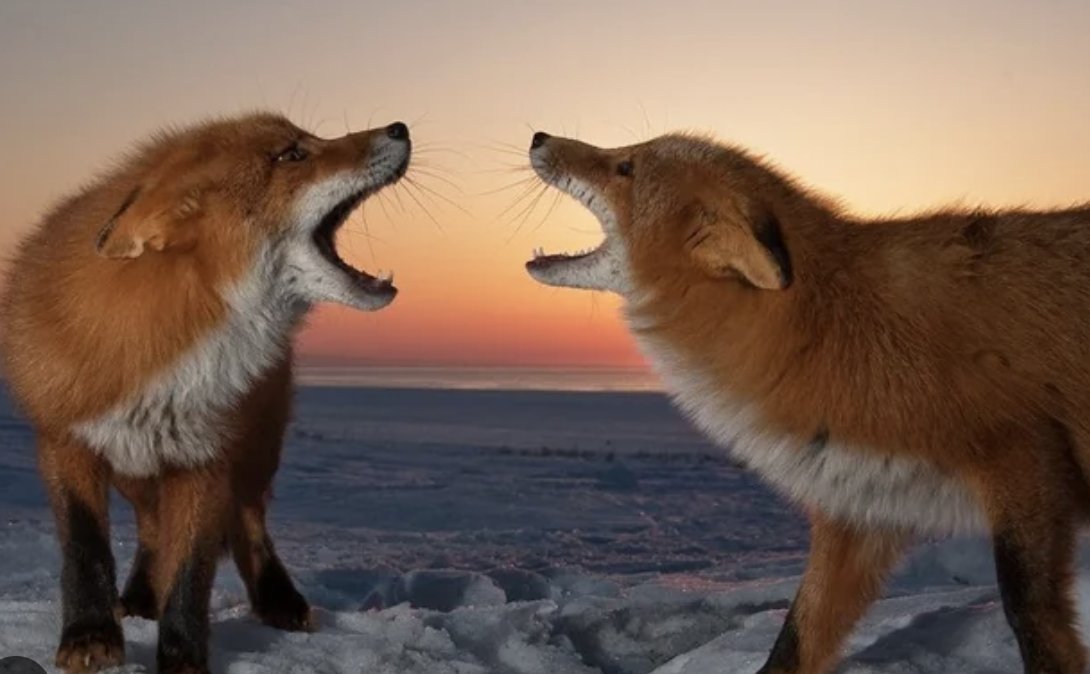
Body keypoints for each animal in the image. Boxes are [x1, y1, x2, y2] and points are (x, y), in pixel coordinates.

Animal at [0, 112, 410, 673]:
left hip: (255, 452)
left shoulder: (206, 455)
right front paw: (90, 635)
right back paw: (140, 598)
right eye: (291, 155)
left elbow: (191, 572)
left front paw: (182, 657)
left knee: (249, 522)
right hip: (134, 468)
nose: (400, 127)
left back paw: (278, 599)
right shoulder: (65, 442)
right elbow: (86, 550)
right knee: (152, 528)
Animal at [524, 129, 1090, 674]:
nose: (538, 136)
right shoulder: (860, 503)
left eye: (625, 166)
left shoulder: (1023, 459)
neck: (829, 331)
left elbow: (1027, 612)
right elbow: (797, 639)